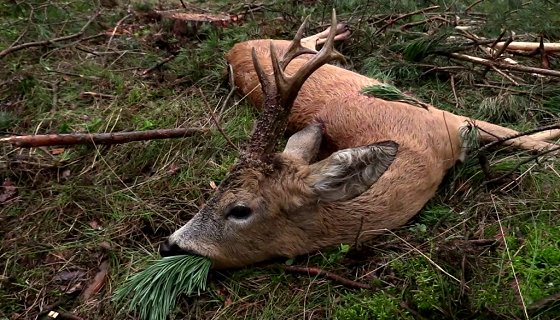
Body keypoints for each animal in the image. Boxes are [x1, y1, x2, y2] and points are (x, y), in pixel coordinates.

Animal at [159, 10, 560, 270]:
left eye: (239, 209)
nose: (168, 246)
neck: (419, 152)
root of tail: (232, 49)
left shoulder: (445, 116)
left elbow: (513, 133)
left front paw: (550, 144)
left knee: (305, 41)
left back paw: (338, 32)